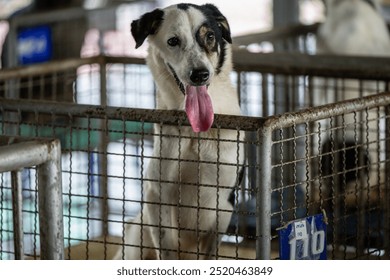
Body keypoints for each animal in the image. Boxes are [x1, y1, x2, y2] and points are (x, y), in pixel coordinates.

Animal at [112, 3, 244, 260]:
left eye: (210, 37)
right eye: (173, 41)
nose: (200, 74)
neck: (195, 132)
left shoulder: (224, 204)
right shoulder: (156, 195)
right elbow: (167, 246)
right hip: (136, 235)